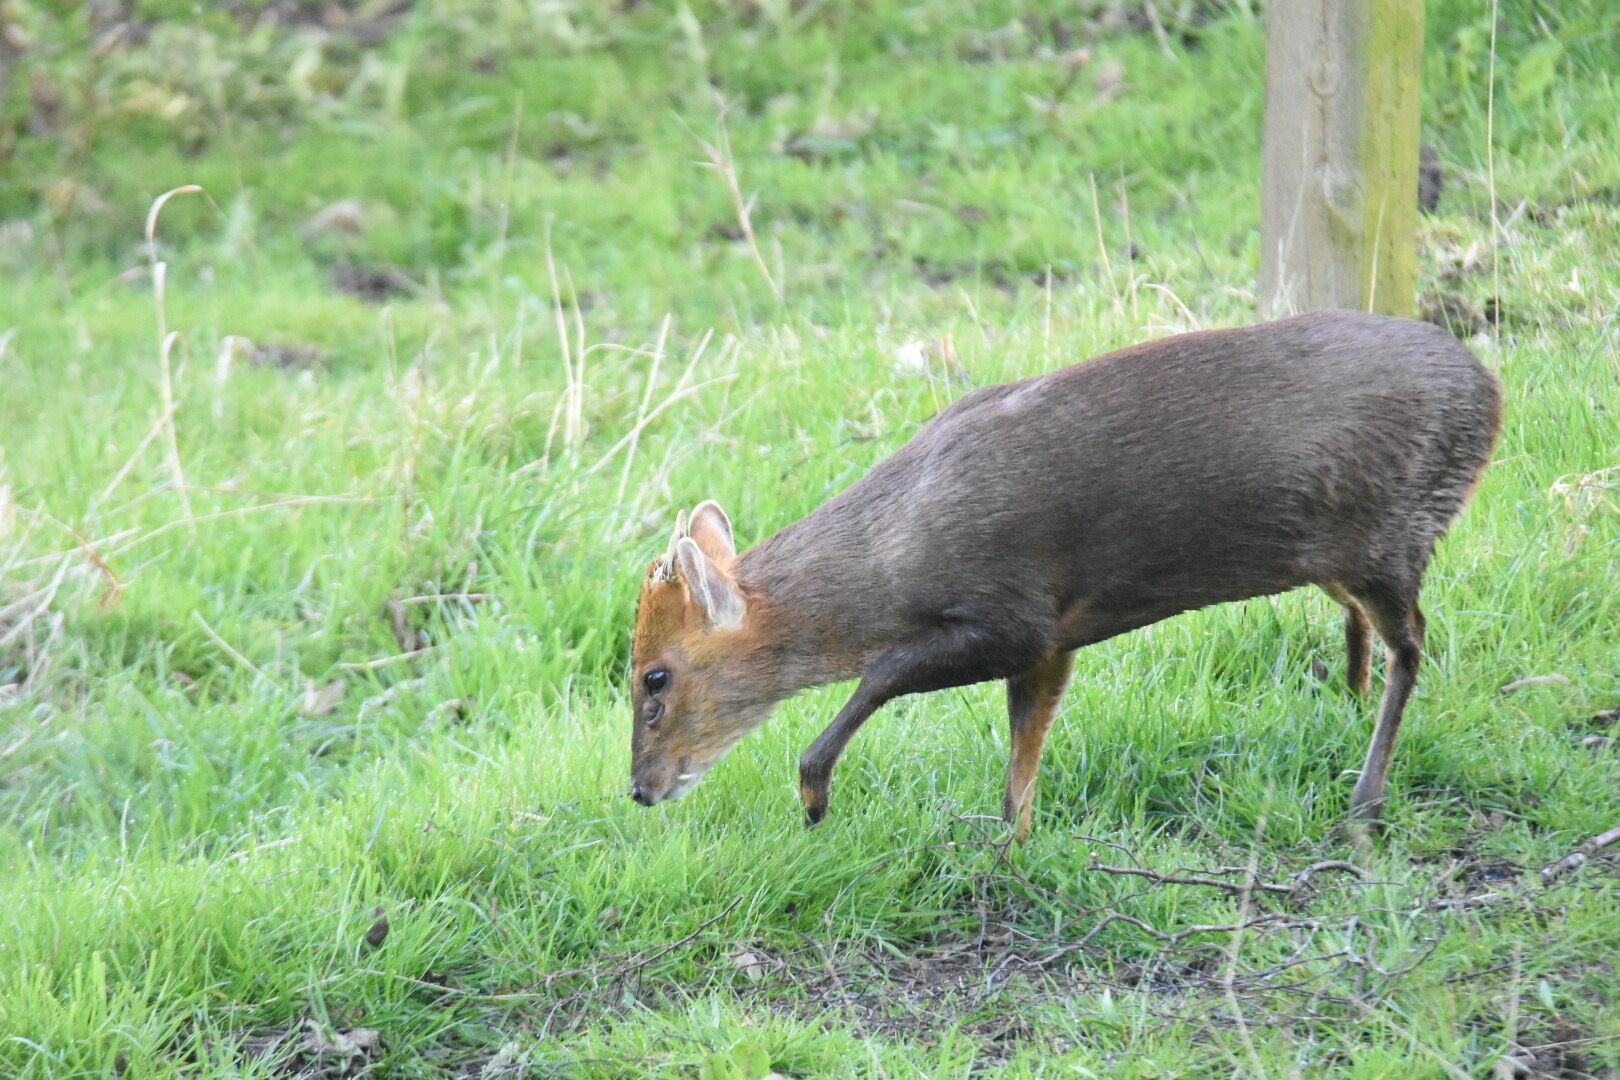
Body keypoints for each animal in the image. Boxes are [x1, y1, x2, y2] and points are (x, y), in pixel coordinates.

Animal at [627, 310, 1502, 841]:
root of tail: (1491, 396)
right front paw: (1007, 847)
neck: (896, 552)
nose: (640, 789)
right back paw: (1346, 704)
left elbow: (880, 677)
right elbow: (1024, 754)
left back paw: (1364, 803)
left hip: (1392, 536)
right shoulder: (1055, 641)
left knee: (1415, 643)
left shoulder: (1015, 613)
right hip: (1338, 555)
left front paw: (814, 796)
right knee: (1376, 634)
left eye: (654, 678)